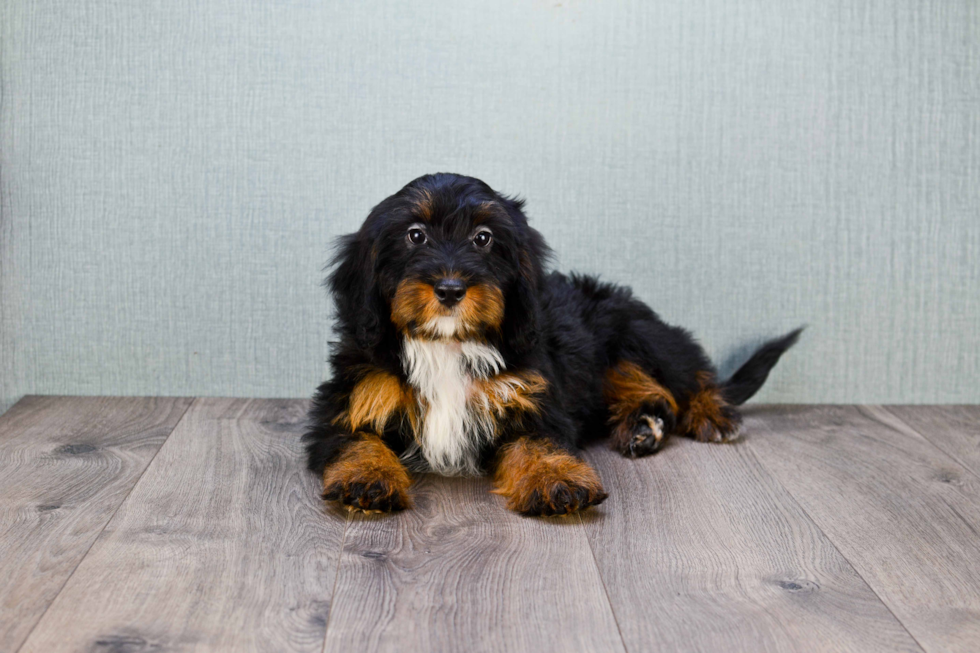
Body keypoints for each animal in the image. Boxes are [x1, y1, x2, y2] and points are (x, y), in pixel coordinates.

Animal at [302, 172, 800, 516]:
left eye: (483, 238)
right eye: (415, 235)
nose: (450, 289)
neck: (448, 343)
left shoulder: (532, 396)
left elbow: (538, 441)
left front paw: (556, 479)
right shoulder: (350, 397)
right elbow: (356, 439)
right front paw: (367, 478)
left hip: (635, 332)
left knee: (684, 374)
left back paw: (710, 413)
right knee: (650, 391)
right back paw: (644, 426)